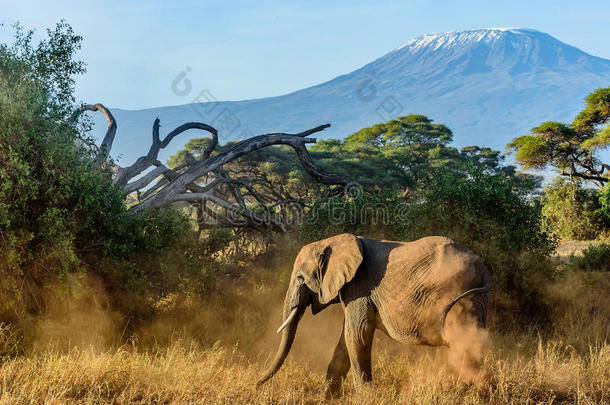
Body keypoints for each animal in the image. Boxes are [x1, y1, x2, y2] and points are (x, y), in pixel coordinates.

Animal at [255, 232, 490, 392]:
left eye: (300, 278)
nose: (256, 383)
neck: (336, 241)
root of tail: (483, 268)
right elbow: (345, 339)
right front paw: (328, 397)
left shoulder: (360, 286)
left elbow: (357, 334)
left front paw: (365, 396)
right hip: (475, 299)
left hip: (462, 296)